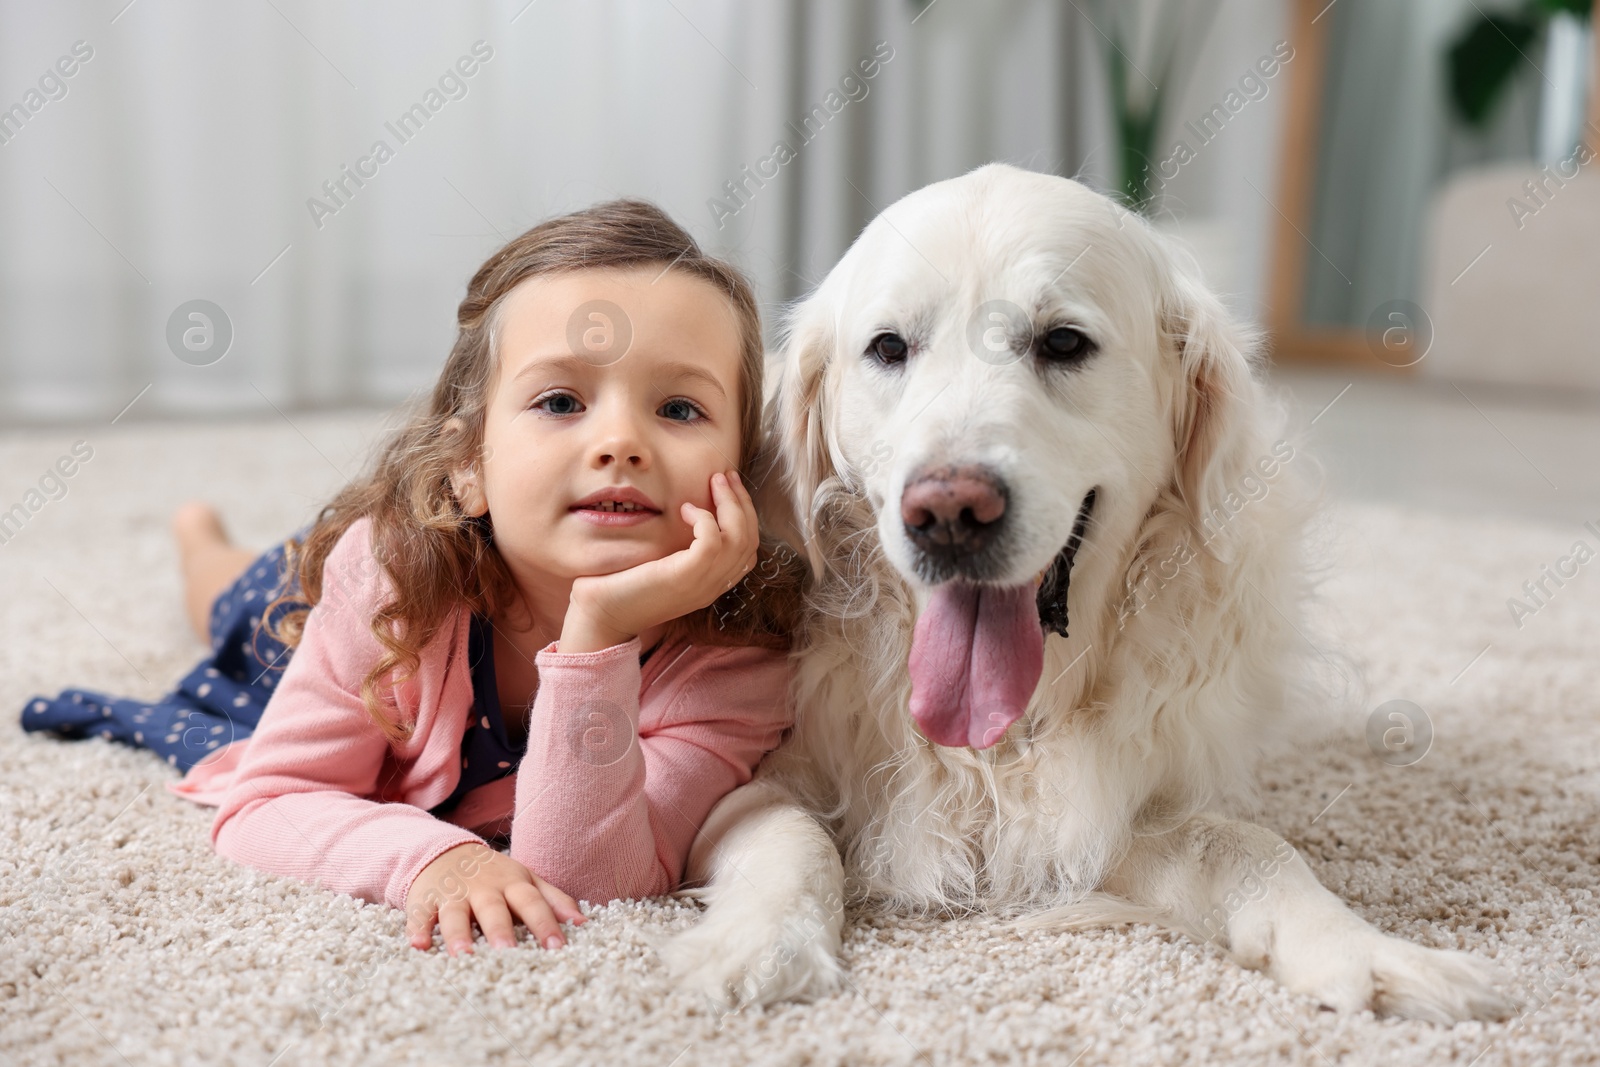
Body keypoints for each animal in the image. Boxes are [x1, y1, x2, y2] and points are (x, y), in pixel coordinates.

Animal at [646, 163, 1510, 1023]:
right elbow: (792, 834)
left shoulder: (1103, 810)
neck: (997, 738)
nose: (949, 514)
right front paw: (759, 944)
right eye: (888, 347)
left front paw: (1368, 951)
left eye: (1063, 342)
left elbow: (1248, 845)